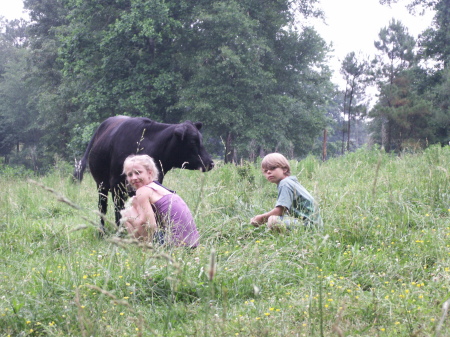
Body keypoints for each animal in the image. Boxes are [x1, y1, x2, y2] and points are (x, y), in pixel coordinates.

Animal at [74, 115, 214, 231]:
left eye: (201, 139)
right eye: (192, 141)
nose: (210, 162)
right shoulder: (117, 187)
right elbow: (119, 212)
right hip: (101, 185)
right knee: (102, 207)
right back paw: (102, 231)